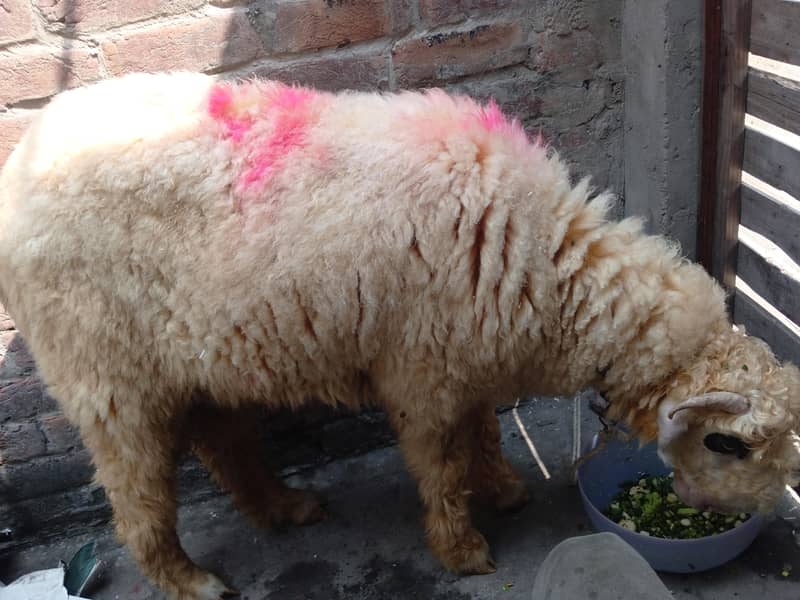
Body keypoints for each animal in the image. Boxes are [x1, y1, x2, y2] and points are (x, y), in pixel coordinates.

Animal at [1, 71, 798, 599]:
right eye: (728, 444)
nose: (759, 516)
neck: (544, 259)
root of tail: (24, 154)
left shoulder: (467, 356)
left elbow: (485, 431)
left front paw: (503, 489)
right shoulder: (425, 372)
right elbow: (441, 463)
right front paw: (463, 547)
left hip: (192, 357)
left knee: (223, 444)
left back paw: (283, 508)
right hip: (105, 374)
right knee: (136, 495)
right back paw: (188, 579)